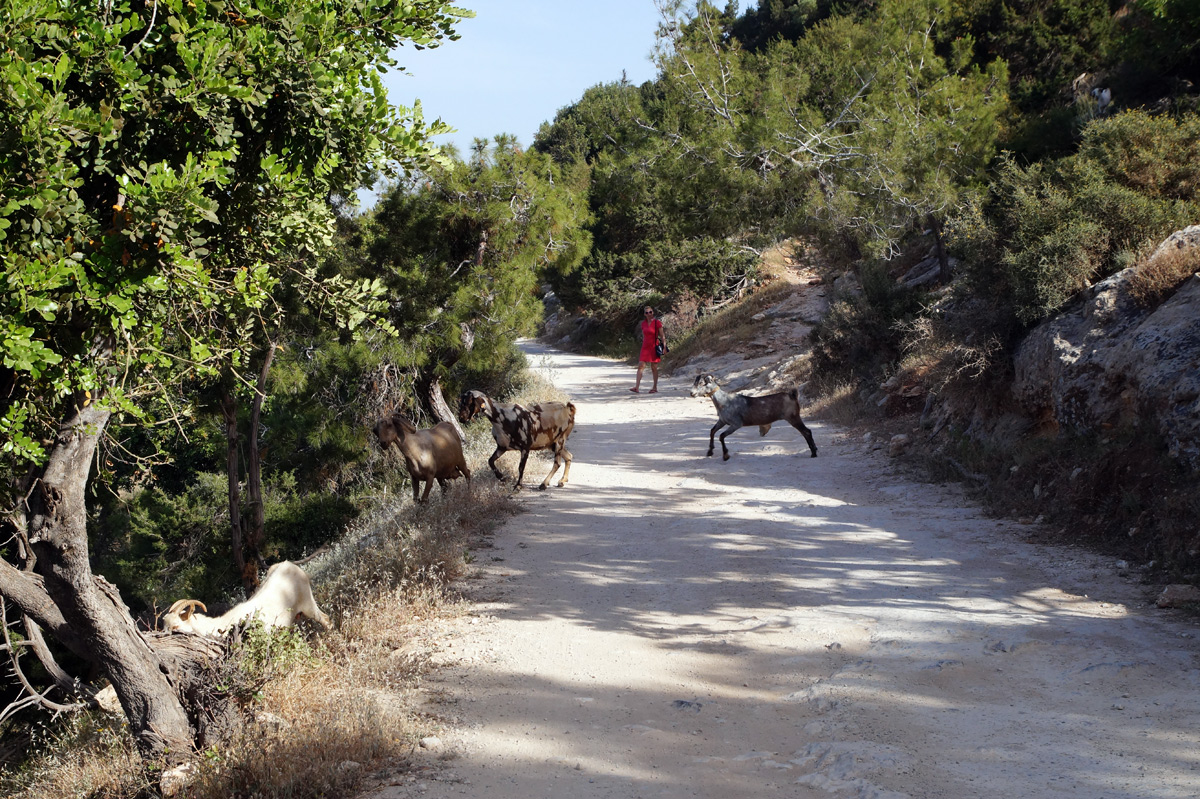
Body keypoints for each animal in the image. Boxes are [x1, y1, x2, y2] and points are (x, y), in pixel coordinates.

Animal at [162, 556, 333, 633]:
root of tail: (289, 565)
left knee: (326, 620)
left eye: (176, 626)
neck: (221, 625)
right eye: (163, 625)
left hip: (308, 604)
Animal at [691, 374, 820, 460]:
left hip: (793, 417)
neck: (724, 401)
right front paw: (709, 451)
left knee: (806, 431)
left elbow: (721, 436)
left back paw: (813, 453)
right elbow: (712, 431)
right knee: (806, 432)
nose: (692, 393)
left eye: (702, 383)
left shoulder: (736, 424)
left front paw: (726, 455)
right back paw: (814, 451)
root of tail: (792, 395)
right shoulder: (722, 421)